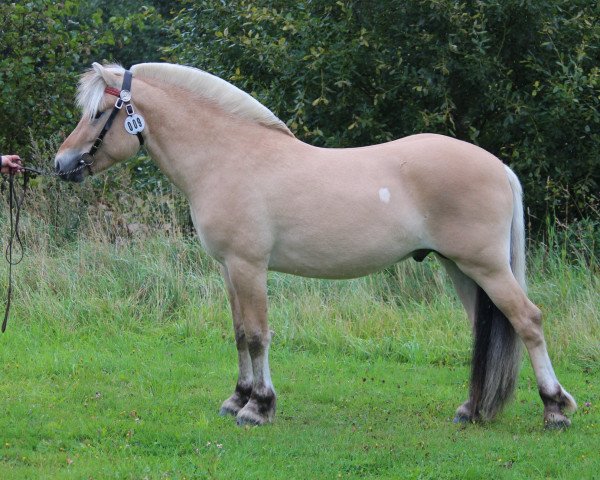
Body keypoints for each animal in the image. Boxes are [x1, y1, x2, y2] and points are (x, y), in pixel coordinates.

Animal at [55, 62, 576, 428]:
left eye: (98, 114)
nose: (62, 164)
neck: (226, 156)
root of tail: (498, 166)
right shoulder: (228, 269)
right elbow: (238, 333)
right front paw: (237, 398)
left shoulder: (248, 266)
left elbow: (257, 335)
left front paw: (258, 408)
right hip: (461, 270)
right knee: (483, 330)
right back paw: (472, 409)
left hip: (486, 267)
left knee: (528, 321)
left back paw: (555, 408)